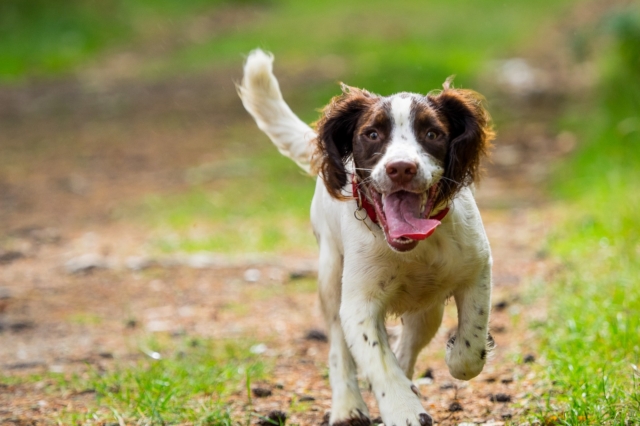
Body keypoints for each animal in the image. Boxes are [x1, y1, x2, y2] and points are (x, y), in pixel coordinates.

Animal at [239, 50, 496, 426]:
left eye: (432, 132)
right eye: (372, 134)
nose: (401, 168)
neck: (411, 248)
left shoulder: (477, 269)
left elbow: (470, 348)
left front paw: (453, 357)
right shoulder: (358, 304)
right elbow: (378, 363)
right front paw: (404, 411)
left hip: (427, 310)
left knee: (407, 346)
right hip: (331, 277)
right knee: (339, 350)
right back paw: (348, 406)